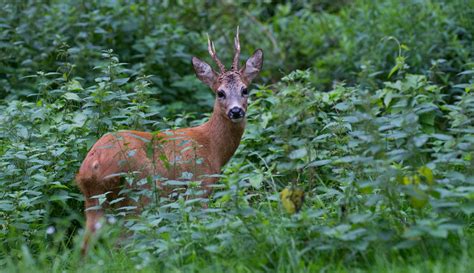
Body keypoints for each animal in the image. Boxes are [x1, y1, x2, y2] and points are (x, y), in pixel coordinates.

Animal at [76, 27, 264, 253]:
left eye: (245, 89)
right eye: (220, 92)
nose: (236, 111)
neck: (213, 146)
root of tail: (93, 164)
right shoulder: (200, 184)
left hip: (94, 199)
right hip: (139, 191)